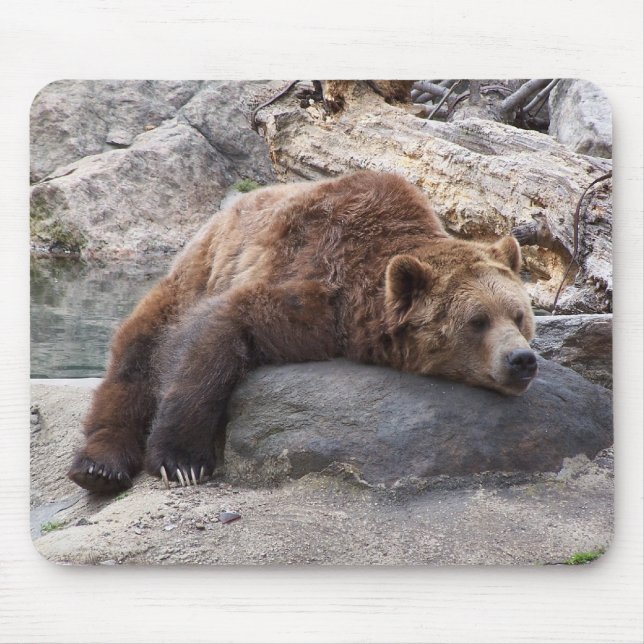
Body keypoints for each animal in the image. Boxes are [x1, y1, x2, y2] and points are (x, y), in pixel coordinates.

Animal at [68, 171, 538, 493]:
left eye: (518, 316)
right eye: (477, 320)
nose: (522, 360)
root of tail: (216, 216)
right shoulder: (315, 289)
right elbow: (215, 330)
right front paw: (181, 461)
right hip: (188, 279)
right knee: (135, 359)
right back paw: (99, 466)